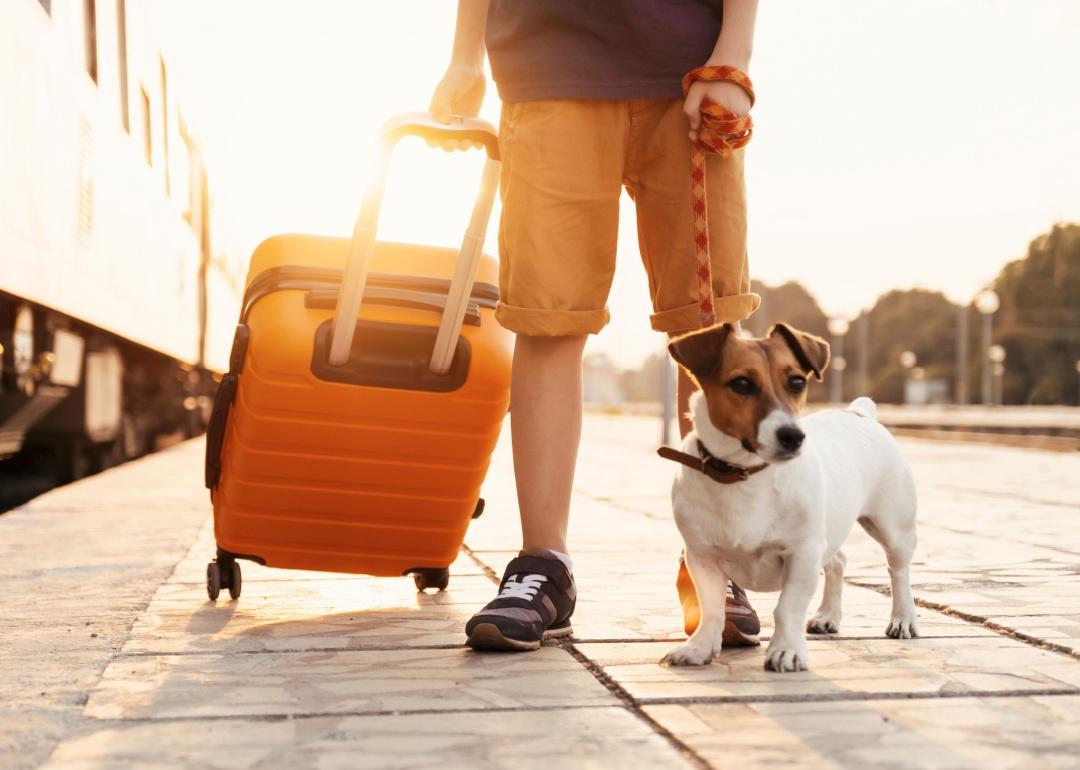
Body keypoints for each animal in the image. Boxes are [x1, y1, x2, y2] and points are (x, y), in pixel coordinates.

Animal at [660, 321, 915, 669]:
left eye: (797, 382)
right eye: (741, 383)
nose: (794, 436)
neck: (743, 474)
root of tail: (859, 413)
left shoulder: (802, 553)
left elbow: (788, 608)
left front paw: (786, 650)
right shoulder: (702, 556)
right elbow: (711, 608)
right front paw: (700, 647)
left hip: (892, 528)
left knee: (898, 572)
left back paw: (904, 619)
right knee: (838, 561)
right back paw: (828, 616)